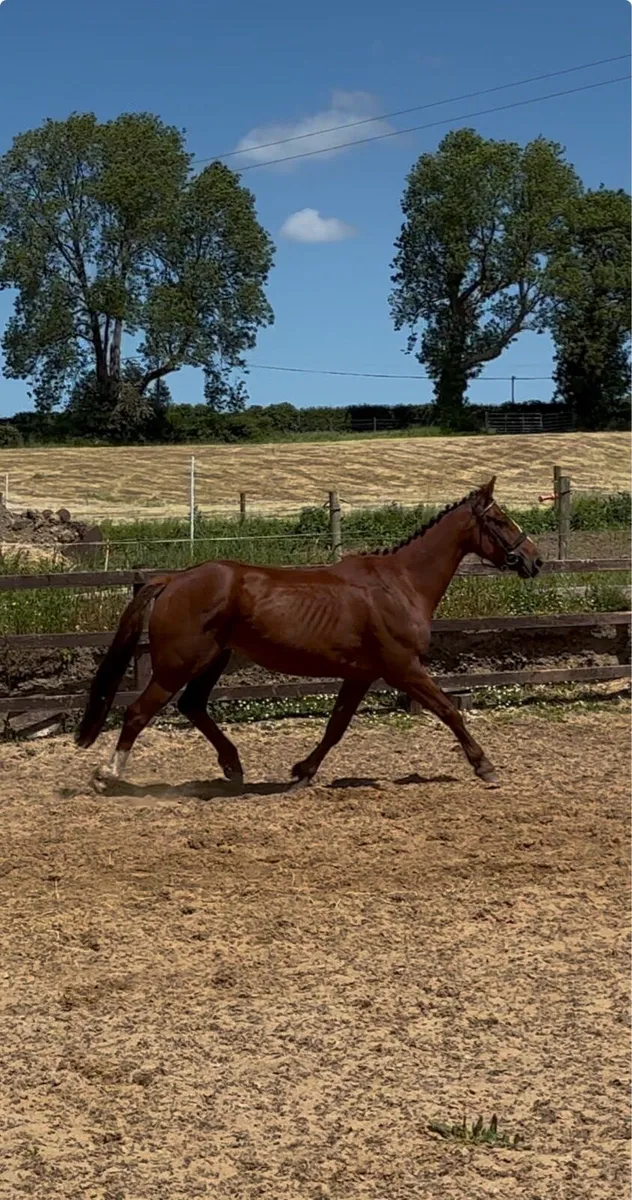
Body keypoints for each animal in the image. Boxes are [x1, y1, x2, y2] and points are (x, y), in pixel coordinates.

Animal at [76, 476, 542, 792]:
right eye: (500, 520)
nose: (534, 560)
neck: (401, 584)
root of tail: (173, 579)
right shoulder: (403, 668)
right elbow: (449, 711)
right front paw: (485, 767)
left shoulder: (361, 674)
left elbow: (336, 726)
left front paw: (302, 771)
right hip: (177, 665)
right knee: (139, 713)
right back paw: (106, 775)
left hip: (213, 660)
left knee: (193, 706)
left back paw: (233, 766)